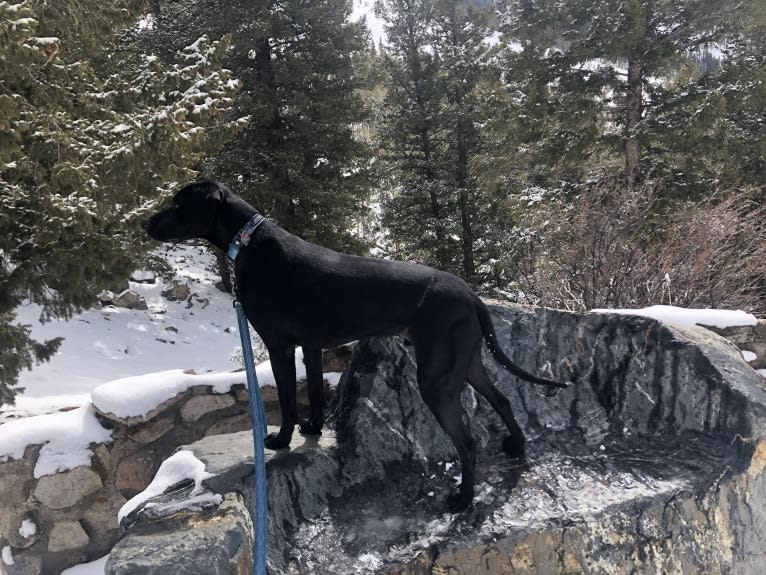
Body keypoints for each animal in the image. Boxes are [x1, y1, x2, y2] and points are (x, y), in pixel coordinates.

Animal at [144, 179, 568, 508]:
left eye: (178, 204)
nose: (146, 222)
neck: (248, 242)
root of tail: (470, 295)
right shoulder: (310, 347)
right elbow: (315, 393)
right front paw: (313, 429)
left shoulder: (280, 346)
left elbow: (287, 399)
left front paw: (281, 439)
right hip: (466, 363)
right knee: (503, 400)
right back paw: (517, 447)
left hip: (436, 379)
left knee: (467, 442)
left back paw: (463, 500)